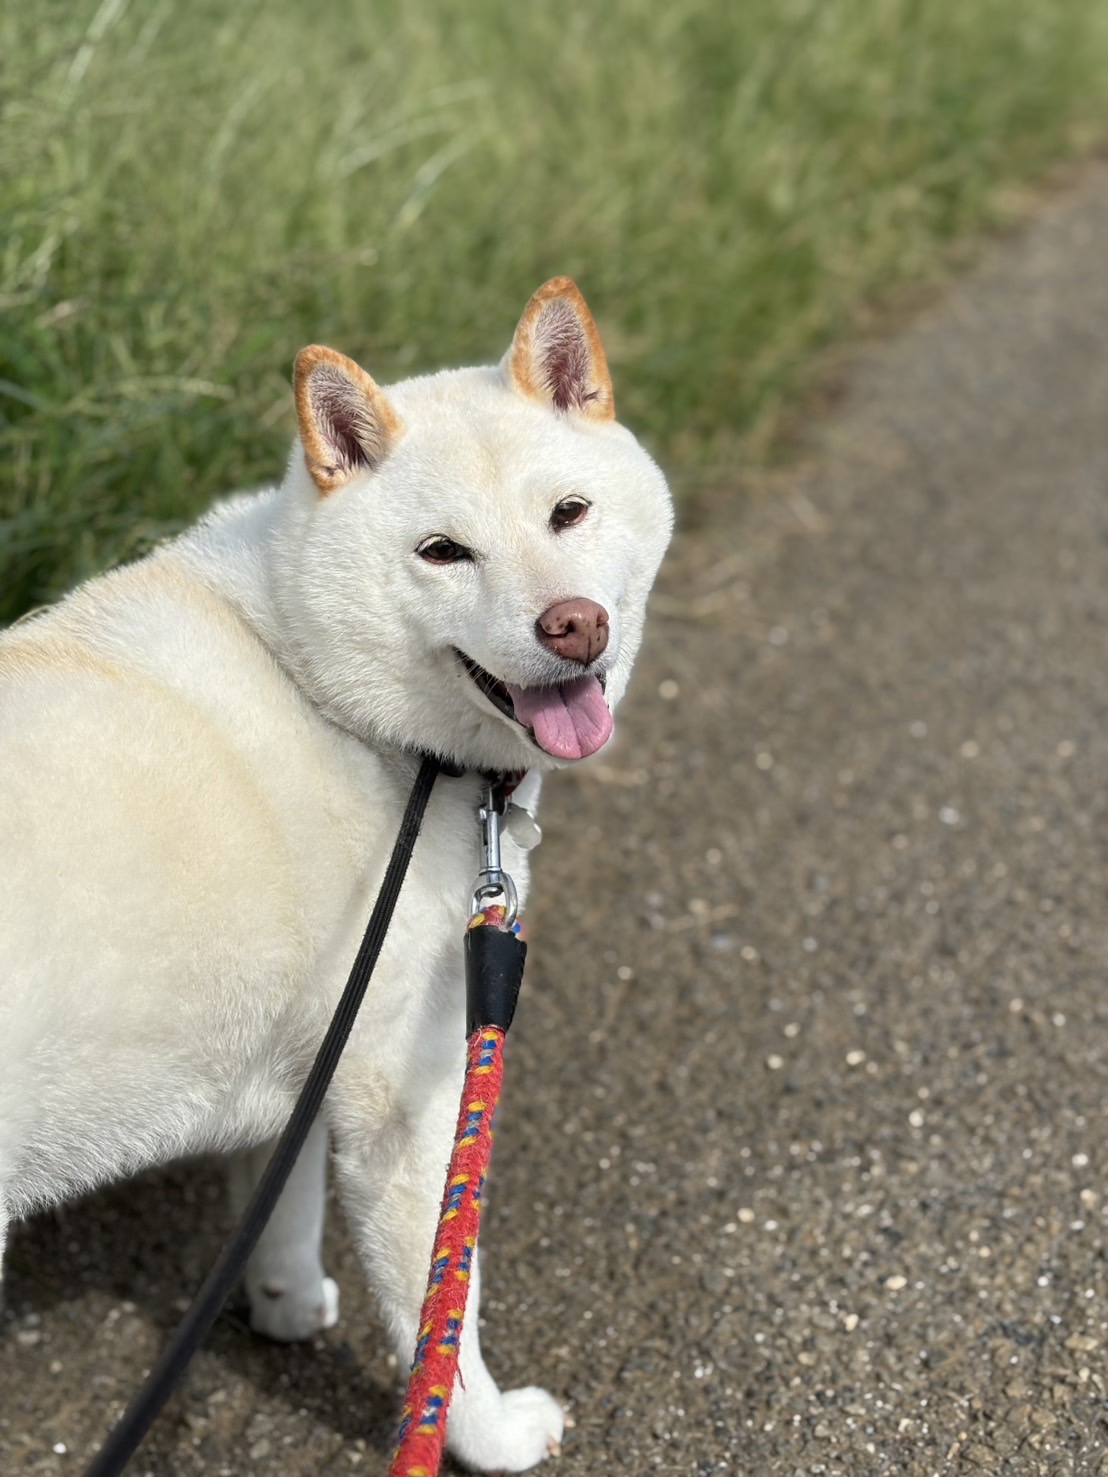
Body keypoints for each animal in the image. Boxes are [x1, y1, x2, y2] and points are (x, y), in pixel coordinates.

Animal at [0, 278, 672, 1471]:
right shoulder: (407, 1102)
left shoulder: (312, 1058)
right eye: (443, 552)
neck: (325, 688)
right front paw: (489, 1434)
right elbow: (441, 1311)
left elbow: (281, 1198)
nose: (573, 625)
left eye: (569, 513)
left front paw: (281, 1297)